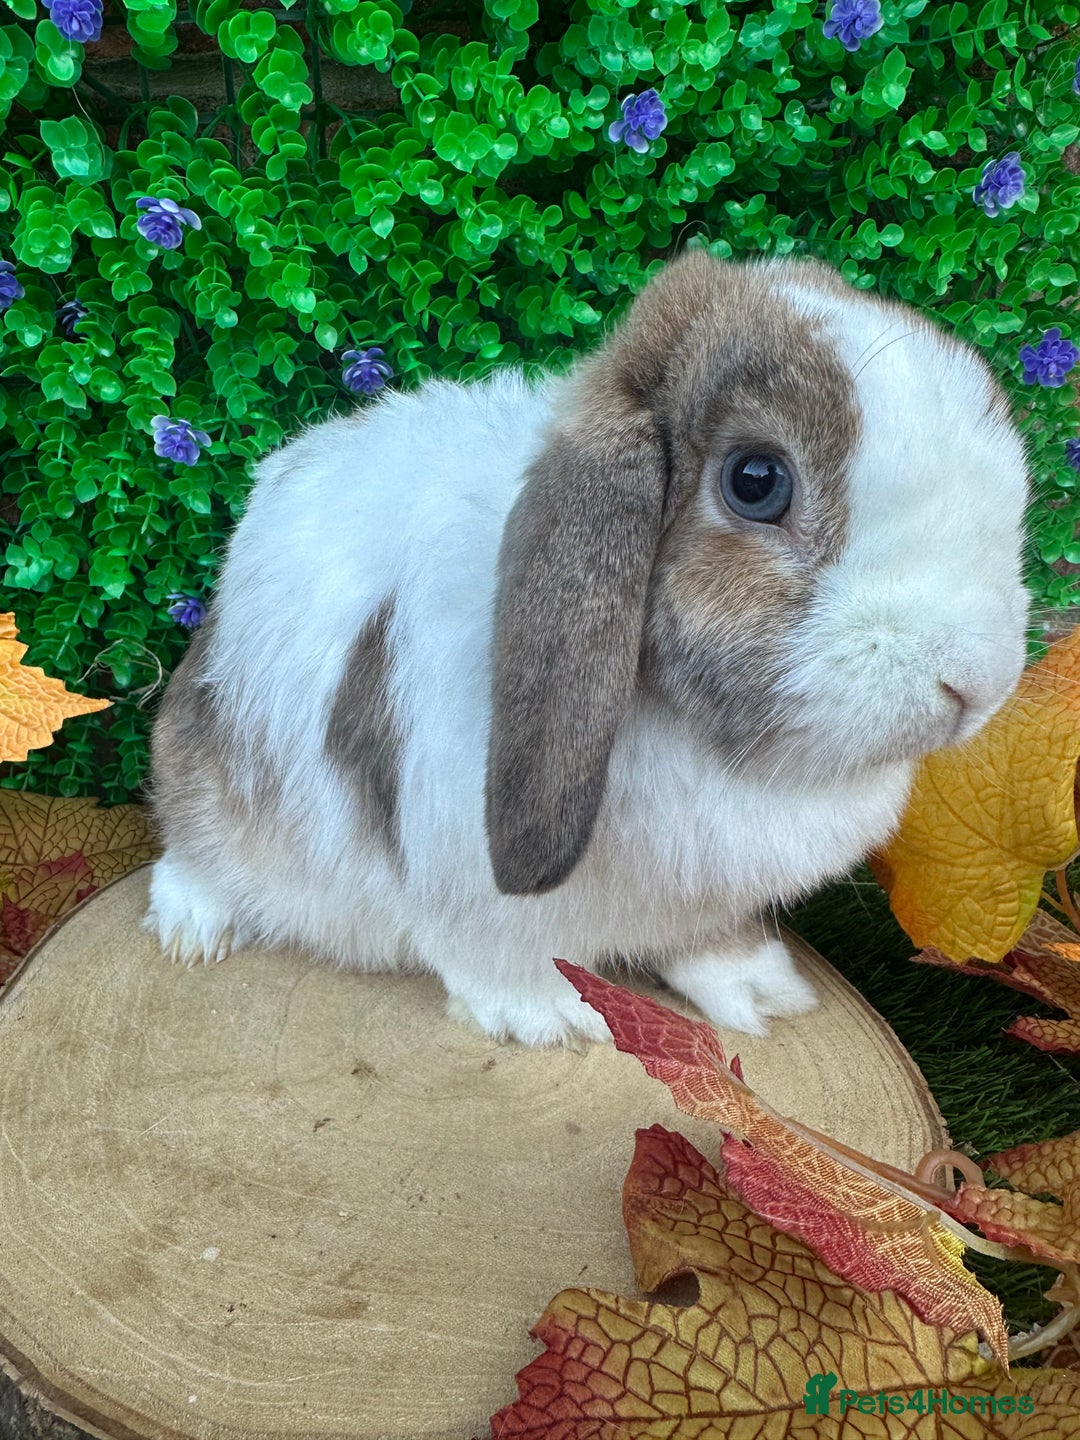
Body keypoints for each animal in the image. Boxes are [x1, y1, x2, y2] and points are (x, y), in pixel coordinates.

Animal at [142, 248, 1032, 1046]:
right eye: (756, 481)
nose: (974, 684)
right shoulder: (470, 886)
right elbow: (498, 956)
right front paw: (550, 1020)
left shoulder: (704, 900)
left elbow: (708, 945)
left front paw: (763, 991)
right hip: (206, 774)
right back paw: (194, 932)